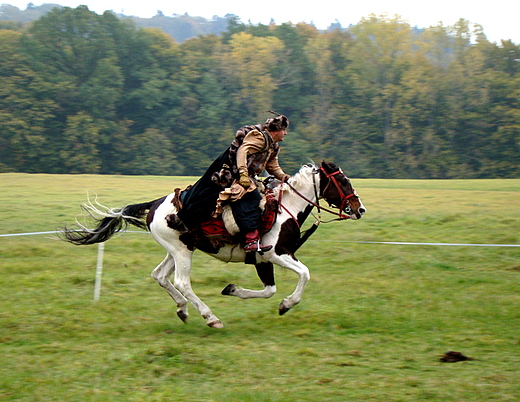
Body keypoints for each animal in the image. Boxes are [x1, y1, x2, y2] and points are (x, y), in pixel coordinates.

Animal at [62, 160, 366, 326]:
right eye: (343, 180)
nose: (359, 209)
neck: (285, 209)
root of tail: (155, 204)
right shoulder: (277, 253)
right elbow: (304, 274)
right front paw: (287, 304)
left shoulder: (261, 260)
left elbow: (268, 290)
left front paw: (232, 290)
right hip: (182, 252)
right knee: (182, 282)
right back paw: (210, 317)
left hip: (176, 249)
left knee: (159, 276)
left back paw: (183, 309)